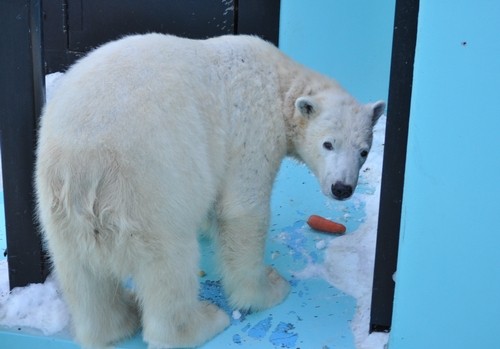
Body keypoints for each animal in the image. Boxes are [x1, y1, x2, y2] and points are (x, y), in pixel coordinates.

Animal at [36, 33, 386, 348]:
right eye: (328, 144)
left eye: (364, 151)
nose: (342, 188)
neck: (281, 82)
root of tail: (83, 168)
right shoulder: (253, 128)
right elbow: (244, 211)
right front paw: (268, 287)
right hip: (147, 188)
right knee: (169, 265)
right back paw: (202, 322)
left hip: (59, 208)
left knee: (82, 277)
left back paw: (118, 322)